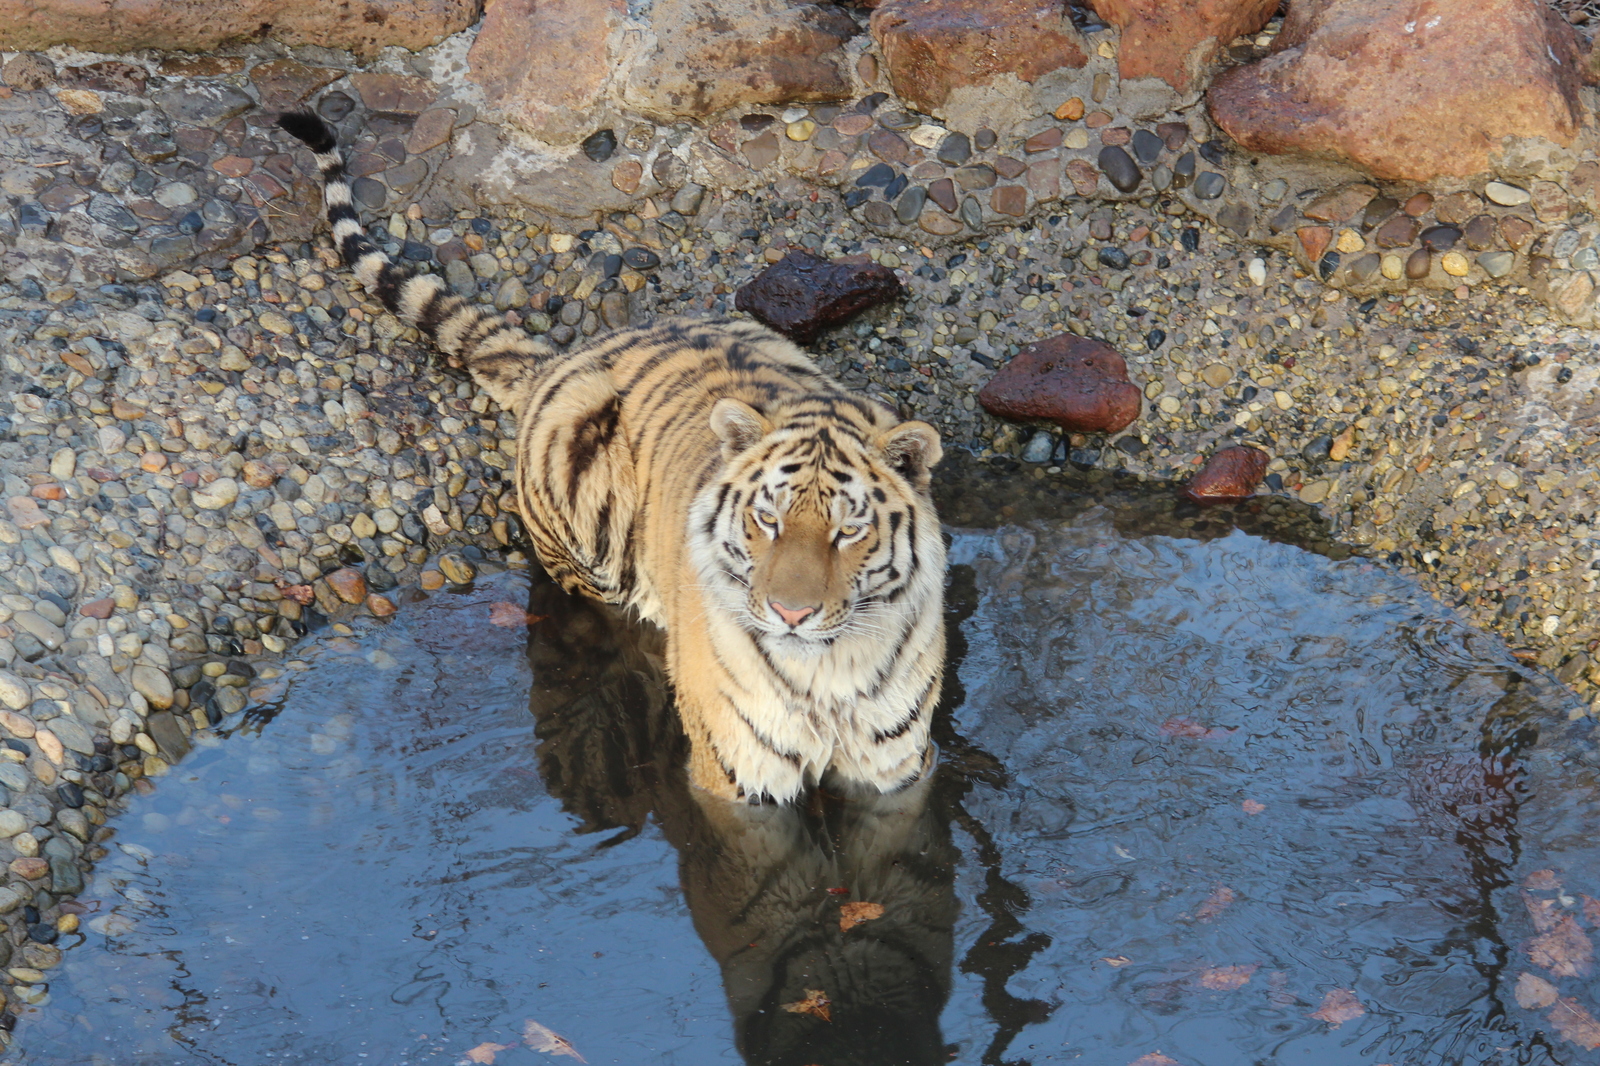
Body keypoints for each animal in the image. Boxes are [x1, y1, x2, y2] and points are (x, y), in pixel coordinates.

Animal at [276, 112, 947, 800]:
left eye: (848, 532)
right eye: (768, 521)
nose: (792, 614)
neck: (826, 680)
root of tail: (561, 358)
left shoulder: (900, 771)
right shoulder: (736, 776)